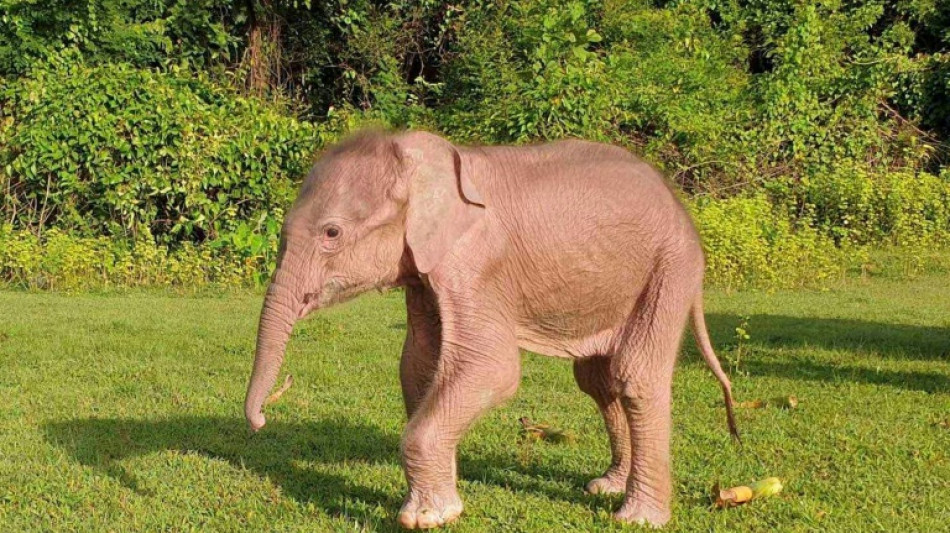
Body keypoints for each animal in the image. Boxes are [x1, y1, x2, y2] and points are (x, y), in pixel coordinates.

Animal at [244, 129, 738, 529]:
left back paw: (638, 518)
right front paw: (439, 499)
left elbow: (491, 368)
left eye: (332, 233)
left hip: (670, 267)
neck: (421, 155)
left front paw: (427, 517)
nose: (261, 420)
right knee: (597, 379)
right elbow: (418, 365)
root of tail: (681, 207)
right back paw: (607, 487)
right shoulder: (426, 271)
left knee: (635, 375)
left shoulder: (478, 264)